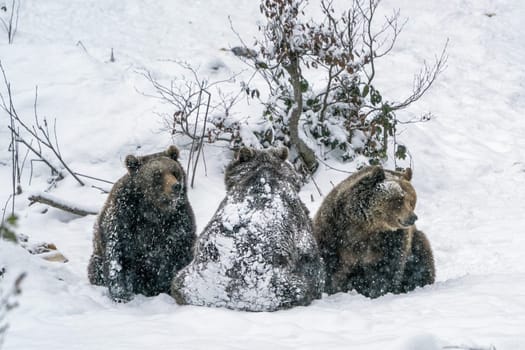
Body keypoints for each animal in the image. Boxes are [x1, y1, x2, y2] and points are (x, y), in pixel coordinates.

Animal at [87, 146, 195, 302]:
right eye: (157, 174)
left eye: (174, 171)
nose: (176, 186)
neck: (153, 209)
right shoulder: (123, 217)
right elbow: (117, 254)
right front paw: (121, 295)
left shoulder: (178, 221)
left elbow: (178, 252)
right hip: (97, 258)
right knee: (96, 268)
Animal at [312, 167, 434, 298]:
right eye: (399, 199)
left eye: (411, 201)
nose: (413, 218)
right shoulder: (332, 230)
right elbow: (329, 263)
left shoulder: (391, 242)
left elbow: (385, 269)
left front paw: (377, 291)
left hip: (415, 244)